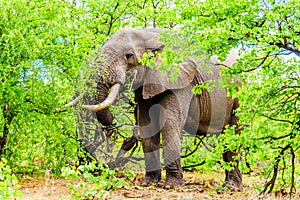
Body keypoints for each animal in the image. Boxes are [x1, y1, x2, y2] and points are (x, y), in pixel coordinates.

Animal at [71, 28, 243, 191]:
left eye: (129, 55)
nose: (112, 126)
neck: (149, 35)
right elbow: (146, 126)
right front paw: (148, 183)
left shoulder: (181, 82)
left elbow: (169, 124)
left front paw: (172, 185)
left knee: (234, 133)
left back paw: (231, 187)